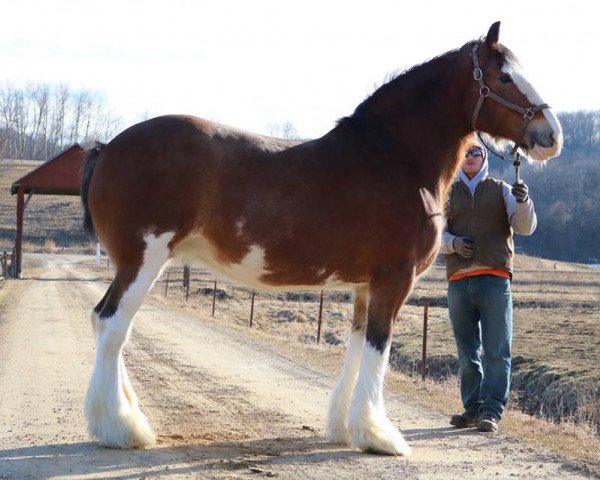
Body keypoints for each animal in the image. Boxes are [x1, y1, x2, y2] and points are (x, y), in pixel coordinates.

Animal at [81, 22, 564, 456]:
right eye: (504, 77)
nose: (552, 135)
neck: (394, 159)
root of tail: (108, 148)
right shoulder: (394, 279)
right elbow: (378, 349)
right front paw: (380, 437)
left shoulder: (365, 286)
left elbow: (356, 346)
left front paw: (346, 428)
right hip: (143, 260)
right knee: (112, 323)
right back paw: (122, 429)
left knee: (107, 322)